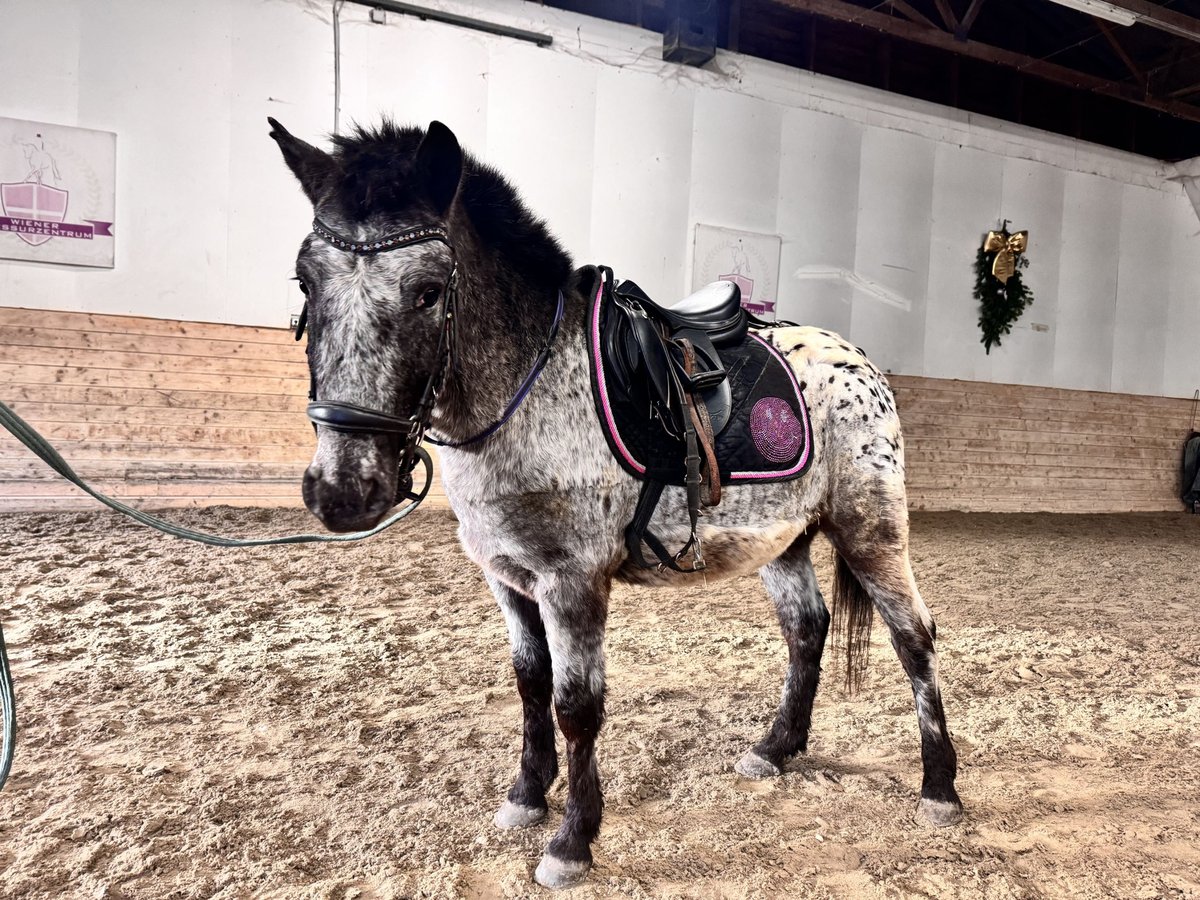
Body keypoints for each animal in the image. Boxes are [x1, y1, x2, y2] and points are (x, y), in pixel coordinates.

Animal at [267, 118, 960, 888]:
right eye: (305, 280)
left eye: (426, 291)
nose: (342, 491)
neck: (530, 389)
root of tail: (859, 363)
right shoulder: (509, 580)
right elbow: (530, 685)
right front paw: (526, 796)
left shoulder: (572, 582)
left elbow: (576, 705)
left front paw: (572, 841)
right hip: (782, 541)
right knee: (807, 629)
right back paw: (775, 750)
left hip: (872, 531)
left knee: (914, 637)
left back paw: (939, 788)